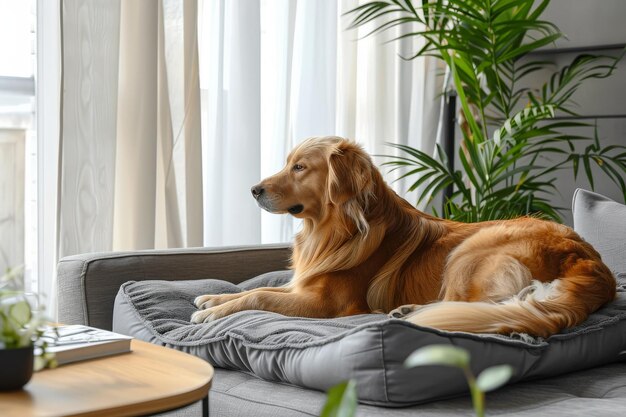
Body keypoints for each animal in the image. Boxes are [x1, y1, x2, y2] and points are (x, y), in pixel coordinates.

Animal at [191, 136, 616, 338]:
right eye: (287, 163)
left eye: (299, 167)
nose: (253, 189)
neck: (335, 229)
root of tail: (589, 260)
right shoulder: (302, 287)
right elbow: (259, 289)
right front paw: (215, 298)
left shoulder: (328, 304)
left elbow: (260, 296)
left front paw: (212, 313)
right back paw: (407, 311)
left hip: (470, 250)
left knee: (477, 309)